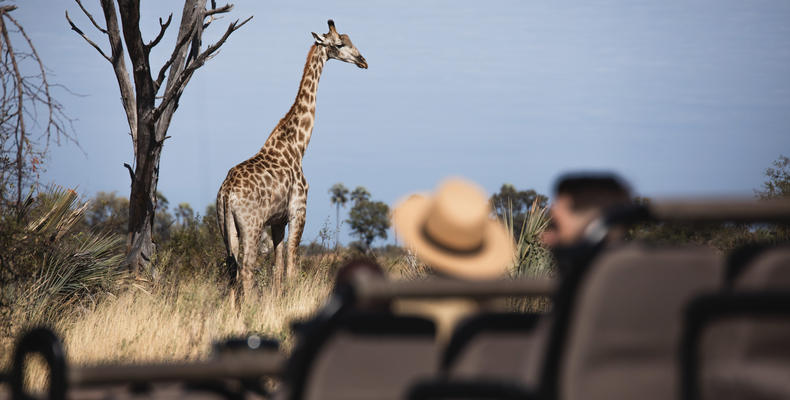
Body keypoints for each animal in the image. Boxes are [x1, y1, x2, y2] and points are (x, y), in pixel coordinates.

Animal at [218, 19, 370, 300]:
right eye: (339, 44)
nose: (363, 60)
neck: (298, 146)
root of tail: (226, 193)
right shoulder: (298, 210)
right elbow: (291, 266)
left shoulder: (278, 220)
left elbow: (277, 268)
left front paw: (277, 301)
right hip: (251, 225)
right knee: (246, 269)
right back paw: (250, 307)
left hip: (226, 227)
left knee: (232, 270)